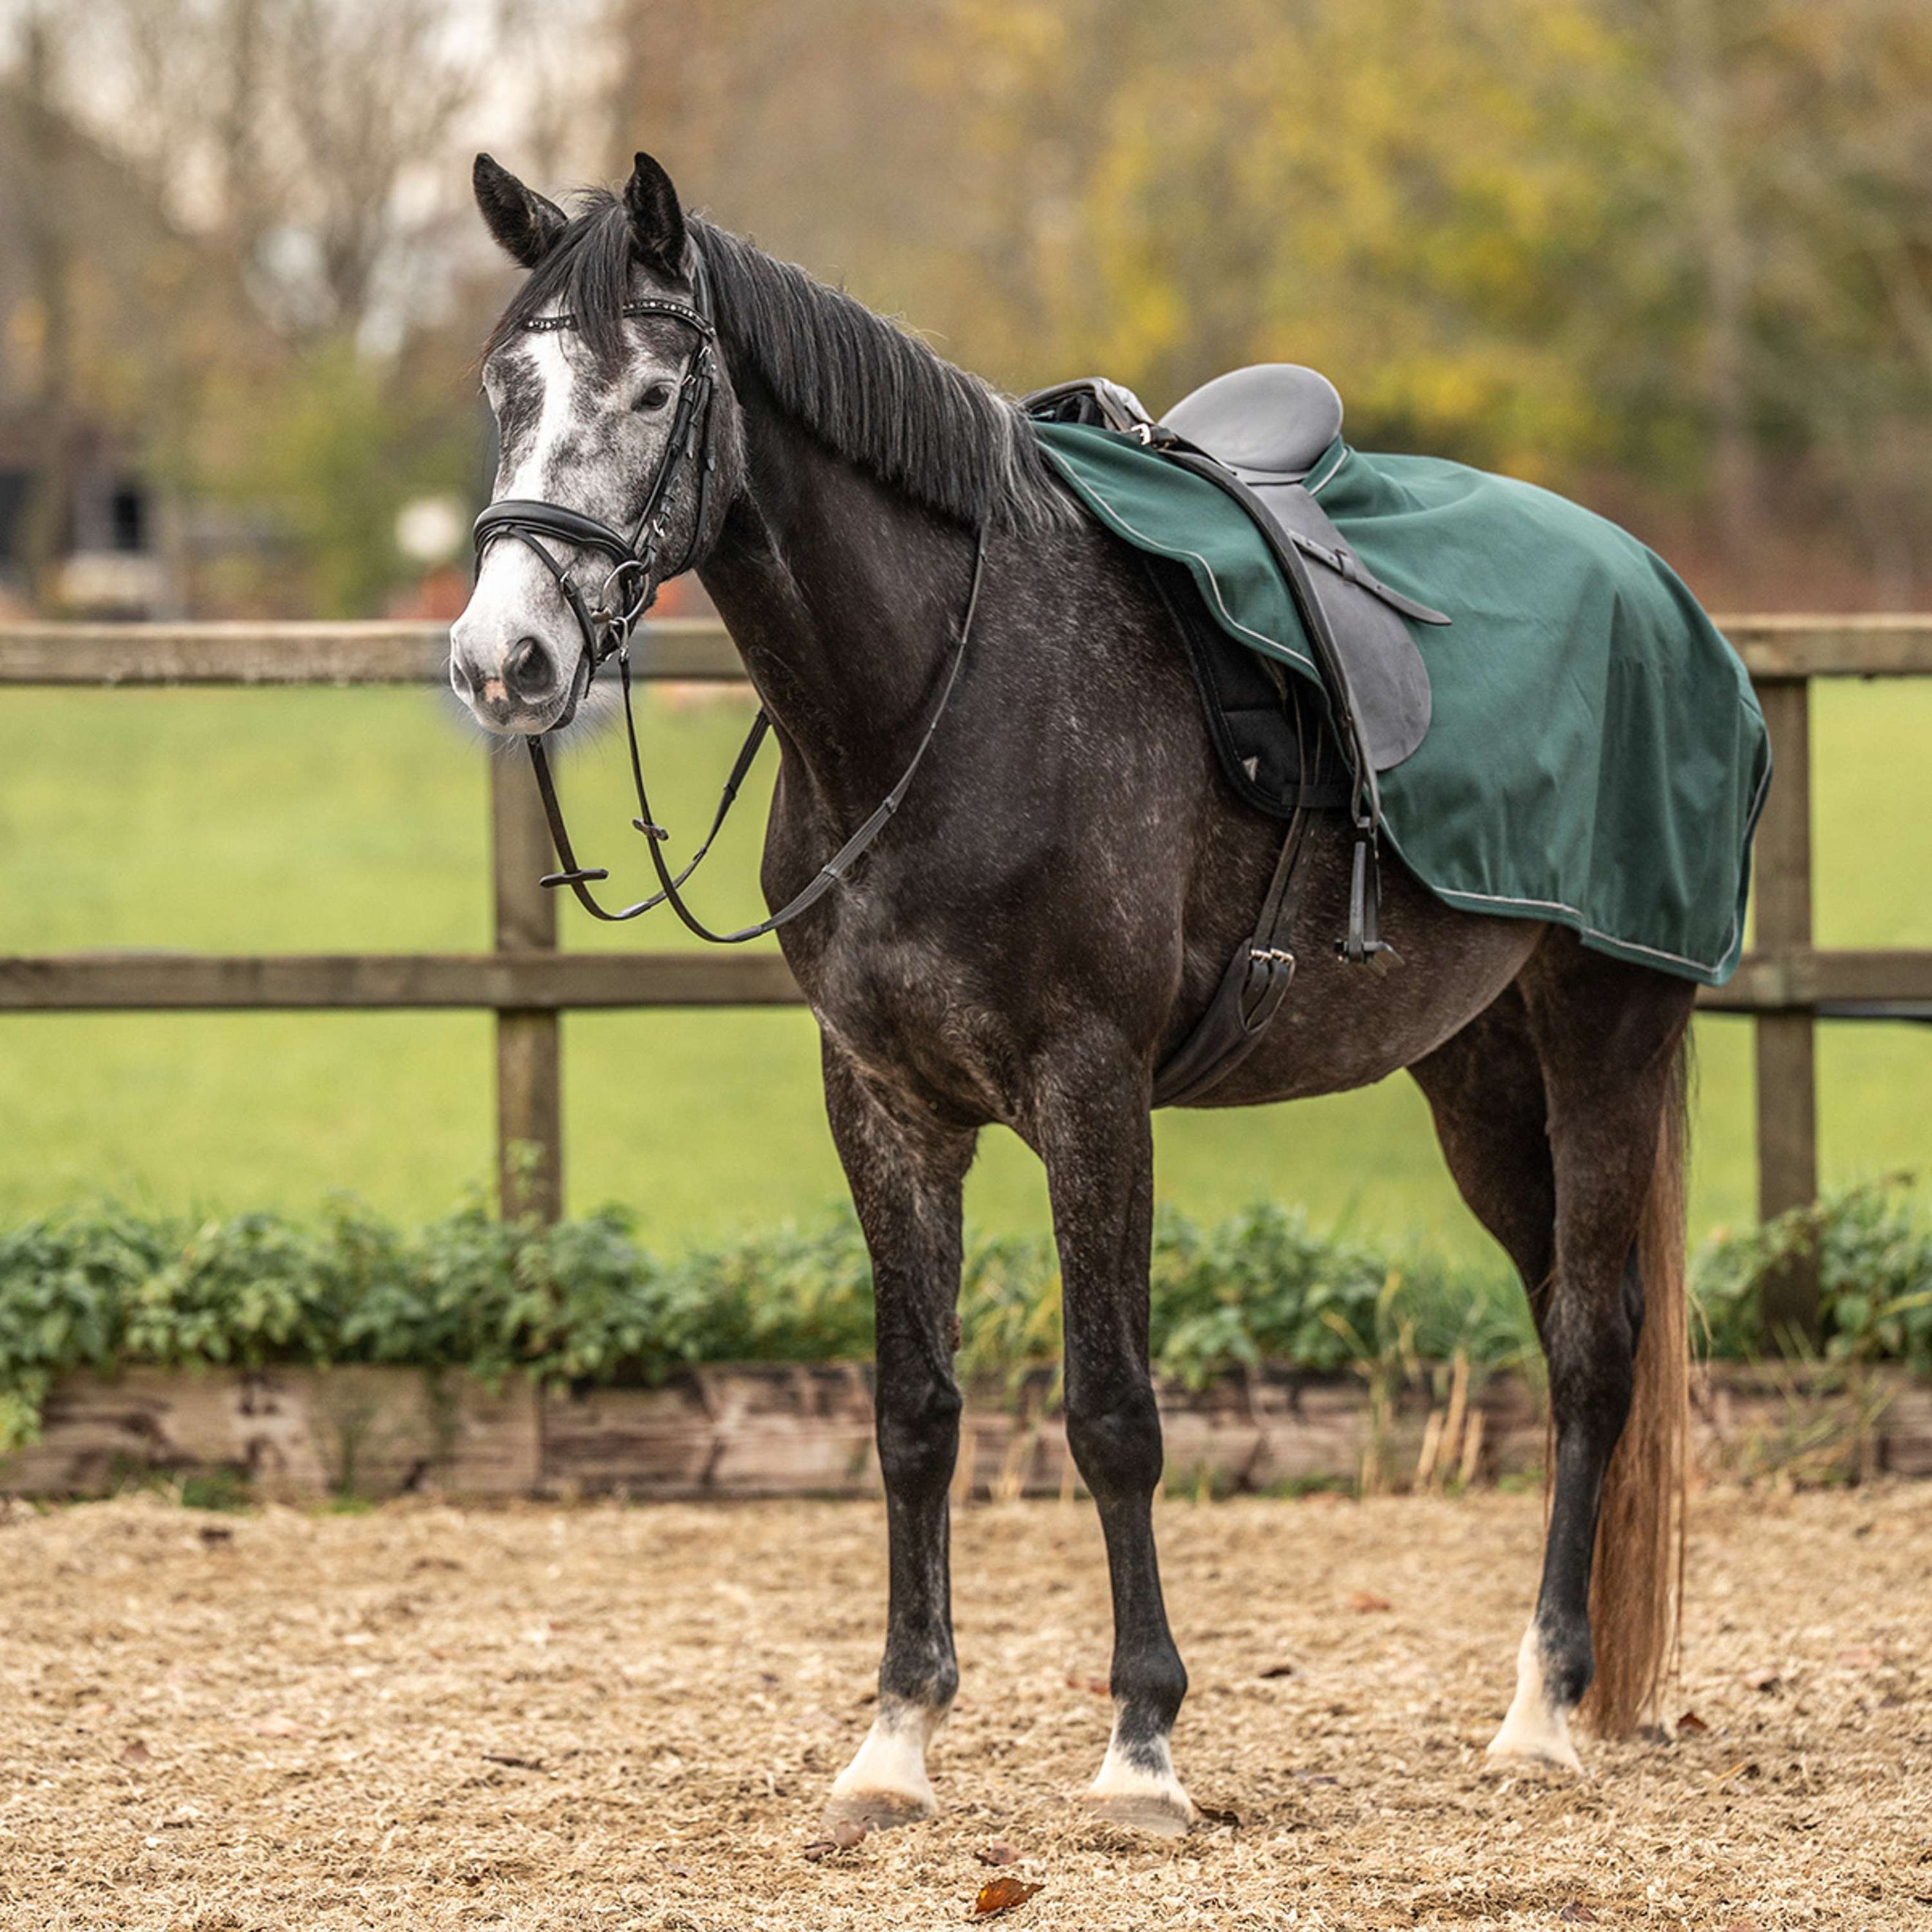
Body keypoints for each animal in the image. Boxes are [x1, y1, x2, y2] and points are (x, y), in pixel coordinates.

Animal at [449, 151, 1695, 1838]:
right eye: (506, 389)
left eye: (652, 391)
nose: (501, 660)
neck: (942, 697)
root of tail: (1651, 583)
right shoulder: (886, 1100)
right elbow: (915, 1412)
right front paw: (897, 1738)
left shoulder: (1092, 1089)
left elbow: (1111, 1412)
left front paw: (1142, 1745)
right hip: (1479, 1077)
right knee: (1564, 1309)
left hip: (1607, 1026)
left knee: (1592, 1351)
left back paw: (1545, 1712)